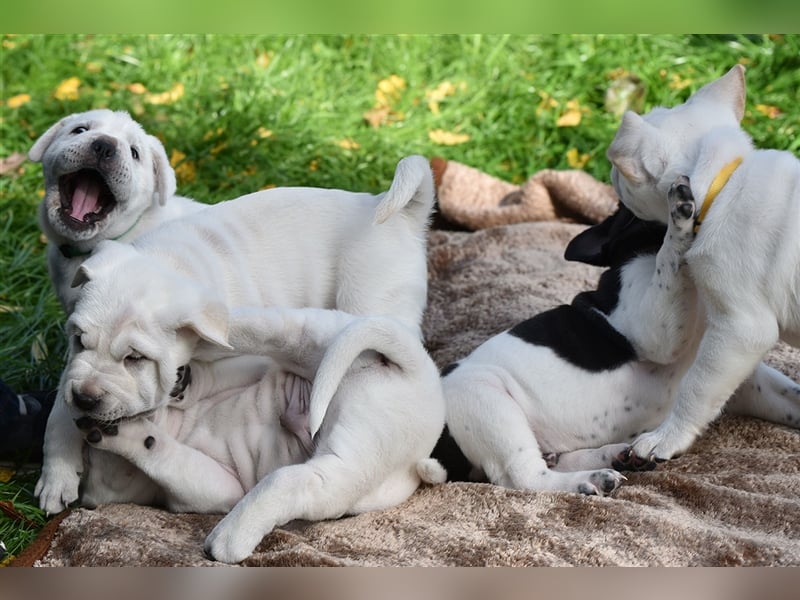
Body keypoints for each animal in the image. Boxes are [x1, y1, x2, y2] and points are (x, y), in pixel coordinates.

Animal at [438, 185, 800, 494]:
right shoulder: (655, 328)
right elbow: (669, 262)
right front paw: (679, 216)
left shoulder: (748, 382)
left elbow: (789, 396)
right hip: (487, 400)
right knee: (523, 475)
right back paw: (586, 481)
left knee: (552, 460)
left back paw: (614, 458)